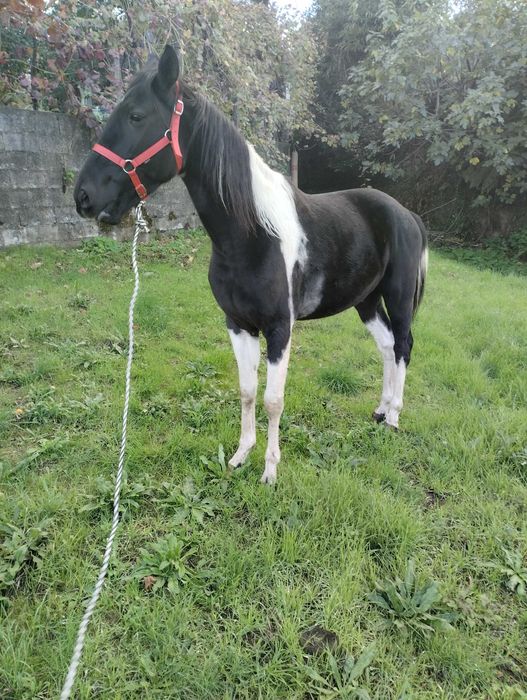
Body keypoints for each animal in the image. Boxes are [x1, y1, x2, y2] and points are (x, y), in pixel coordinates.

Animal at [74, 45, 428, 484]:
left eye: (137, 116)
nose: (83, 195)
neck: (254, 234)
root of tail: (407, 215)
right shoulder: (238, 324)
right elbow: (246, 391)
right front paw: (241, 455)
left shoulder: (280, 328)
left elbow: (274, 399)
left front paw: (270, 471)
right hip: (366, 301)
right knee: (386, 346)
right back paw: (379, 411)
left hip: (397, 298)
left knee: (403, 345)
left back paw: (394, 416)